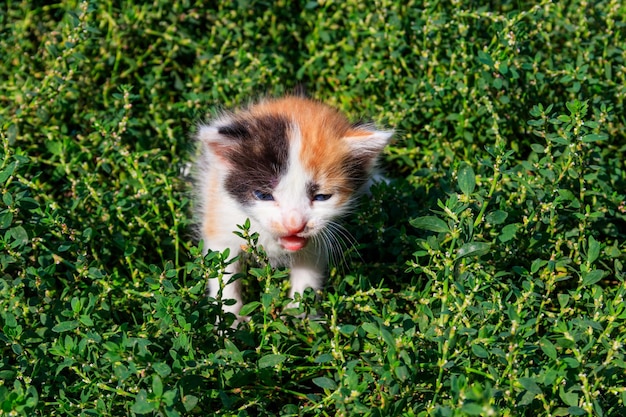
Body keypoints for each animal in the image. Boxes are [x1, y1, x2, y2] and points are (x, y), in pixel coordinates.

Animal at [194, 96, 390, 316]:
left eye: (321, 197)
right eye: (263, 195)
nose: (295, 225)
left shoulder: (315, 244)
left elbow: (307, 278)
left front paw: (300, 316)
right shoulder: (220, 214)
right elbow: (223, 271)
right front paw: (229, 319)